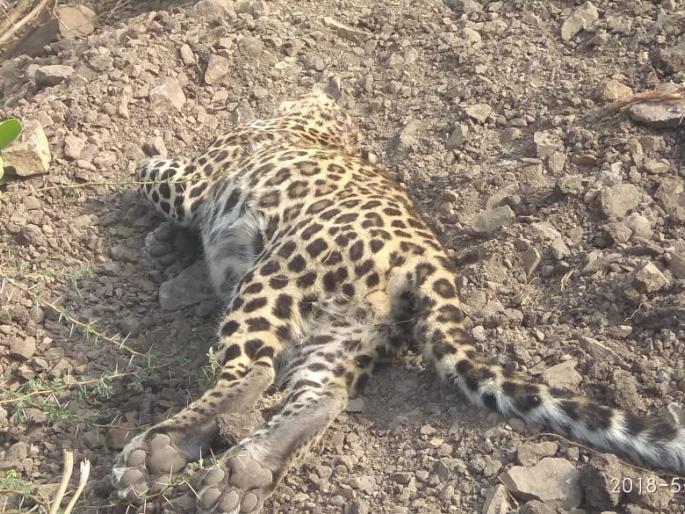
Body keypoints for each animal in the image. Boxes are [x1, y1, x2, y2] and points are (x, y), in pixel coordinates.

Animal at [112, 79, 685, 513]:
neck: (325, 130)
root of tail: (431, 261)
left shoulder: (197, 180)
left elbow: (149, 174)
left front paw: (144, 175)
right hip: (346, 335)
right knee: (322, 398)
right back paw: (243, 475)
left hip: (275, 276)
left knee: (251, 370)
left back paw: (159, 450)